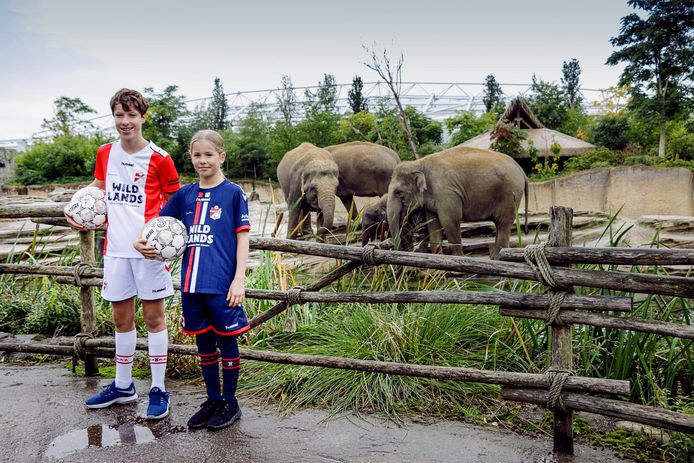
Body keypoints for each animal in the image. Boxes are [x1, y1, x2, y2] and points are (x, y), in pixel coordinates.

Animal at [386, 146, 528, 260]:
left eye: (398, 192)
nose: (400, 249)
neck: (419, 163)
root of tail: (519, 168)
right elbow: (433, 225)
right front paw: (437, 263)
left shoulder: (447, 193)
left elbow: (449, 221)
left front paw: (458, 258)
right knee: (499, 224)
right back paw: (494, 258)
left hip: (510, 194)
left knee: (503, 223)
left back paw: (499, 258)